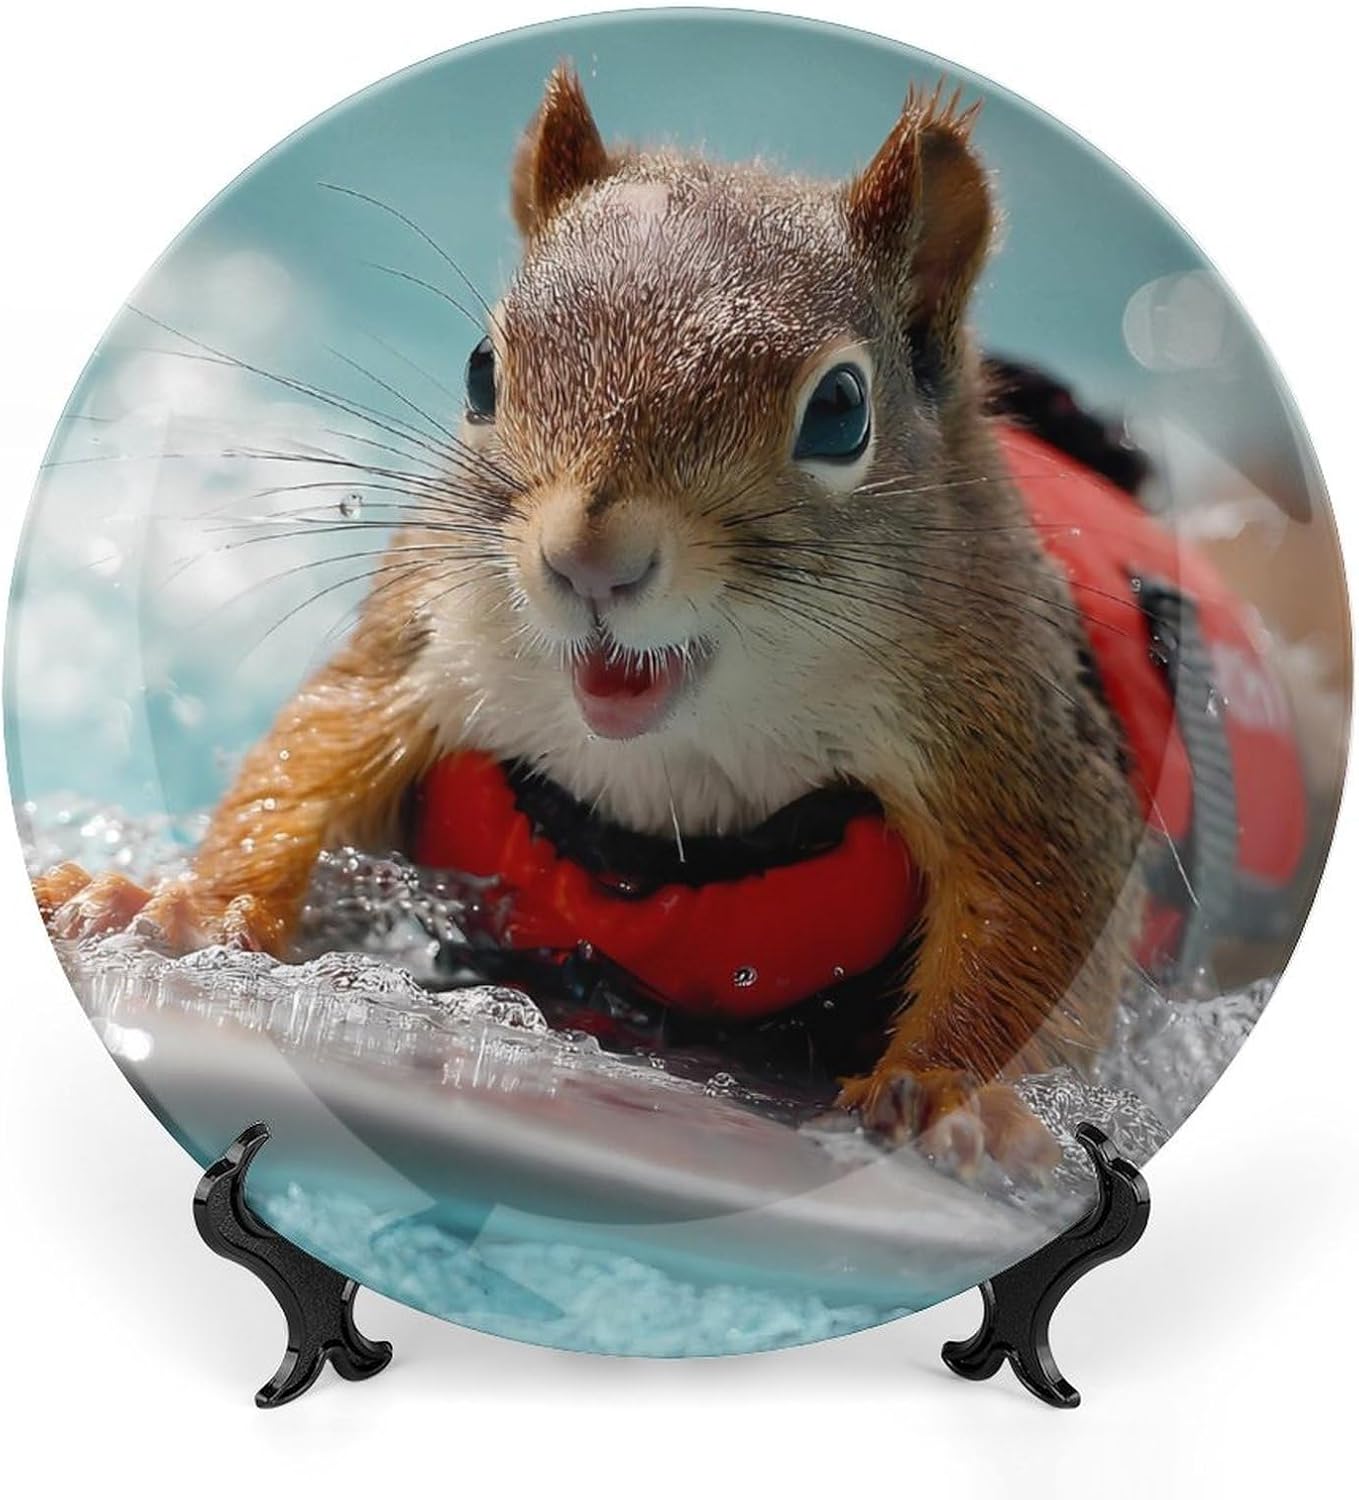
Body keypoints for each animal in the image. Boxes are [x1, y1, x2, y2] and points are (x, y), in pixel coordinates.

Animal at [35, 67, 1152, 1177]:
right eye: (481, 371)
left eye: (841, 411)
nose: (589, 561)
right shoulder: (427, 633)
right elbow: (314, 760)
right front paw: (181, 909)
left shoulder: (1007, 728)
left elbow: (1039, 909)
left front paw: (958, 1094)